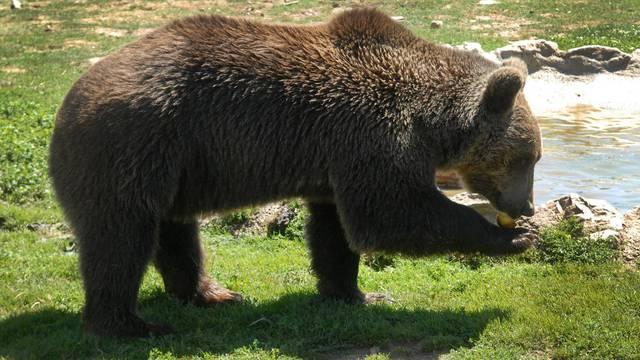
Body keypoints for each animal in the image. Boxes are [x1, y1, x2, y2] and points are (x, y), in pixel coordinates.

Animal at [48, 7, 540, 338]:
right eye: (527, 157)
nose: (528, 207)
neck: (430, 118)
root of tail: (70, 99)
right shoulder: (375, 133)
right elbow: (390, 213)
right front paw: (511, 239)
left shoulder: (338, 159)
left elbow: (335, 230)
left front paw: (356, 293)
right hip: (131, 144)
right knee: (120, 237)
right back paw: (129, 324)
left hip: (174, 165)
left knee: (173, 229)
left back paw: (212, 293)